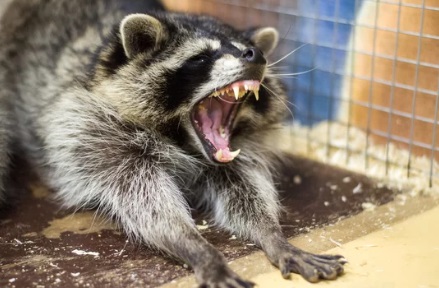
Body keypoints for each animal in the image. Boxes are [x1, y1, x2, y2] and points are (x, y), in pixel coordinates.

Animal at [0, 0, 348, 286]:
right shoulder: (93, 133)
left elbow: (246, 191)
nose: (256, 54)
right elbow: (146, 202)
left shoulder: (239, 153)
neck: (183, 142)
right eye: (202, 57)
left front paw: (273, 235)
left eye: (245, 47)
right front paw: (195, 245)